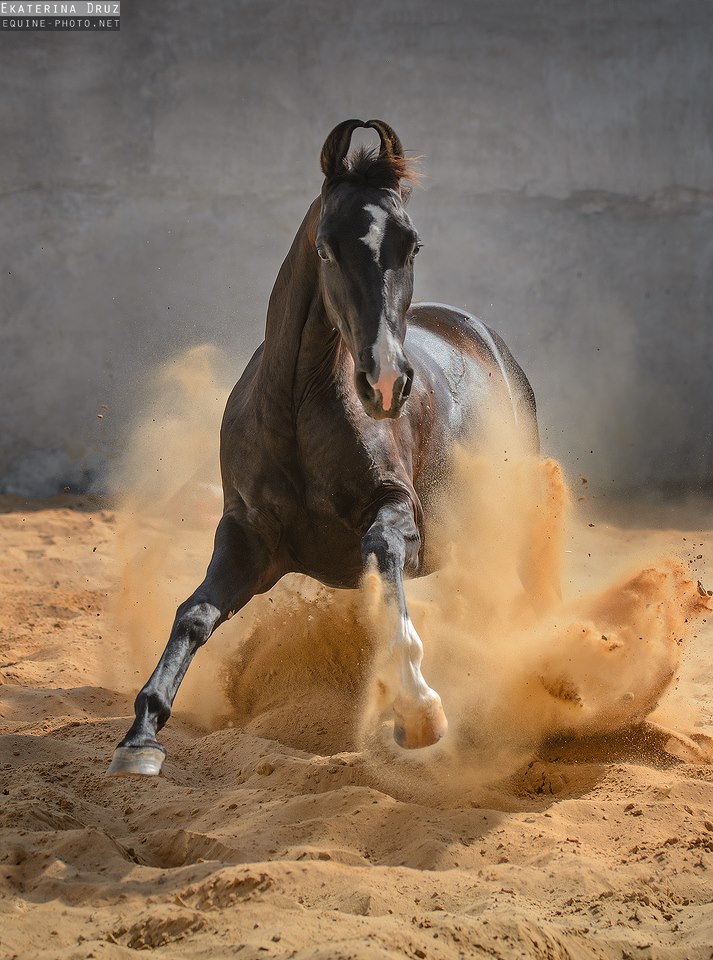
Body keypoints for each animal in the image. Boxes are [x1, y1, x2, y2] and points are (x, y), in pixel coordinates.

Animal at [108, 122, 536, 780]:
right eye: (329, 248)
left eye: (411, 245)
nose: (385, 382)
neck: (295, 411)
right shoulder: (250, 538)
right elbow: (194, 614)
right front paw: (141, 738)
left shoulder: (399, 515)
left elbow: (384, 563)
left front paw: (418, 710)